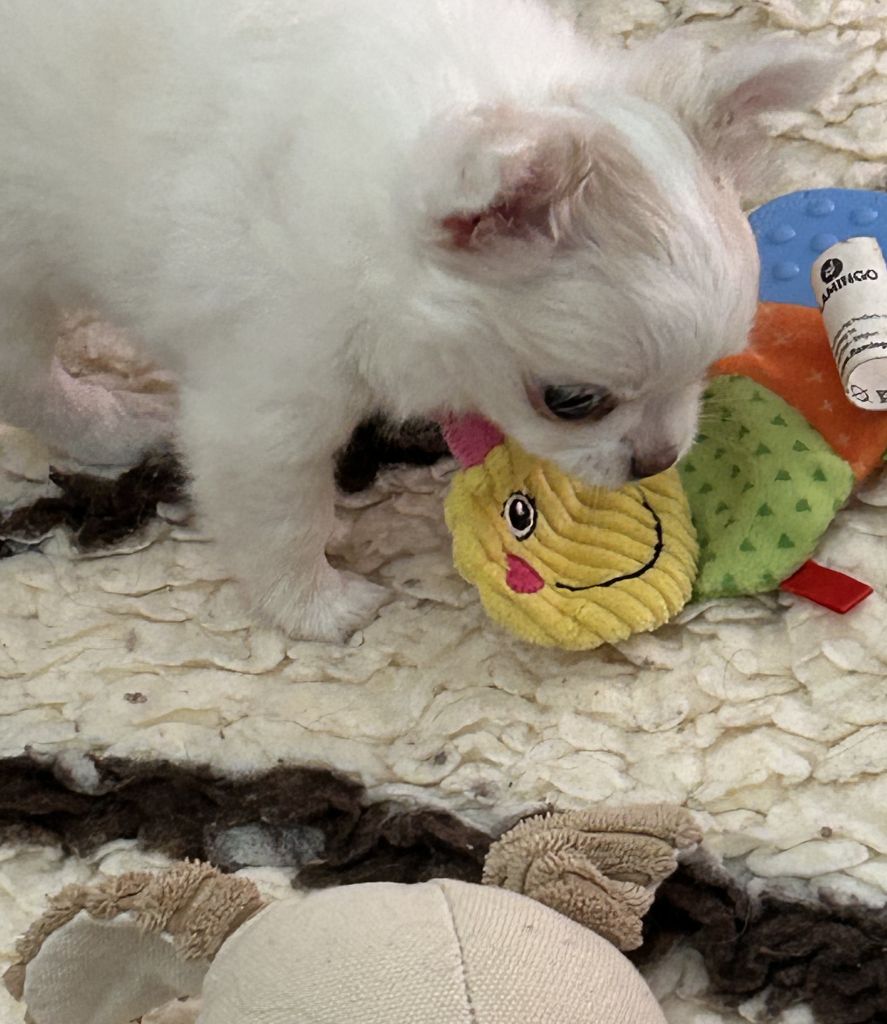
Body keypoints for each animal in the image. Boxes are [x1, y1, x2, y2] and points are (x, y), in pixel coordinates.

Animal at [0, 0, 835, 640]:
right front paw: (316, 607)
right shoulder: (266, 398)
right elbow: (278, 517)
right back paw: (109, 424)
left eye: (707, 372)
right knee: (29, 381)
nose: (657, 461)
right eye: (571, 402)